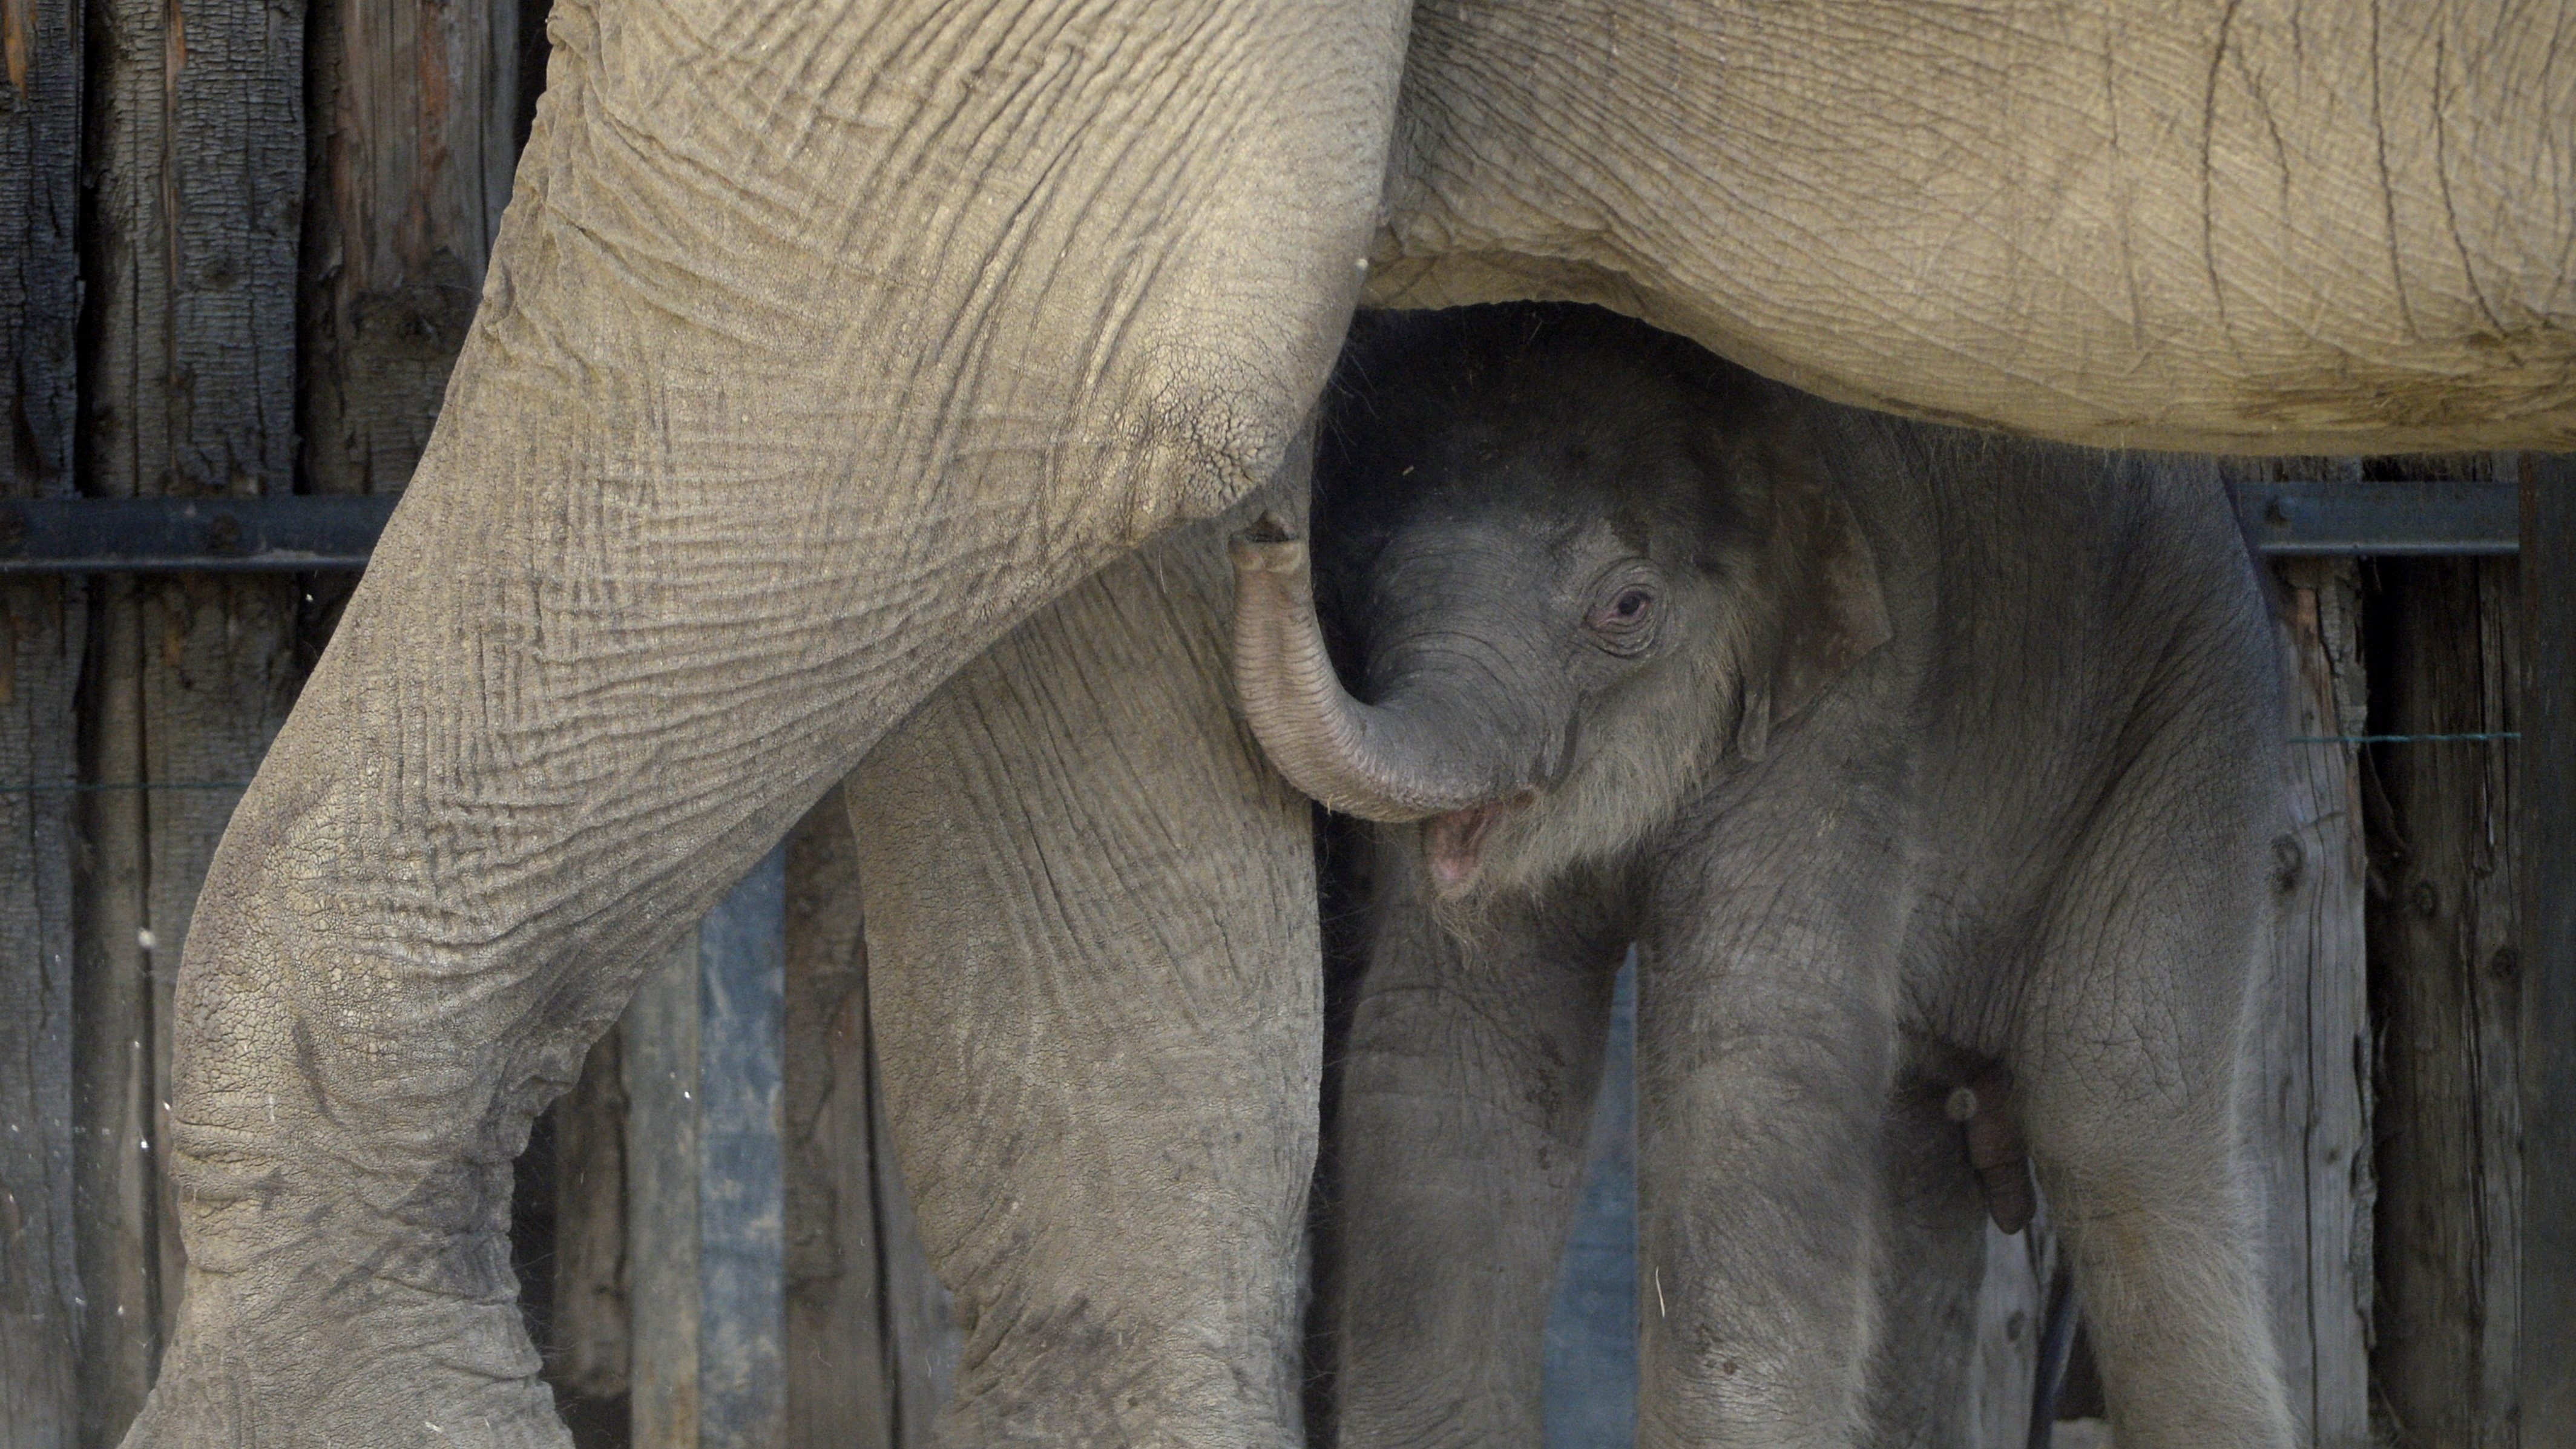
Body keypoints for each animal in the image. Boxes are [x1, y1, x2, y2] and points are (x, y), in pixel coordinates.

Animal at [1231, 306, 2298, 1444]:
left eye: (1627, 607)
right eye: (1353, 584)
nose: (1264, 532)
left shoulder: (1856, 695)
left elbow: (1748, 1049)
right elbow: (1454, 1041)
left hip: (2198, 713)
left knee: (2120, 1123)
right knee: (1916, 1151)